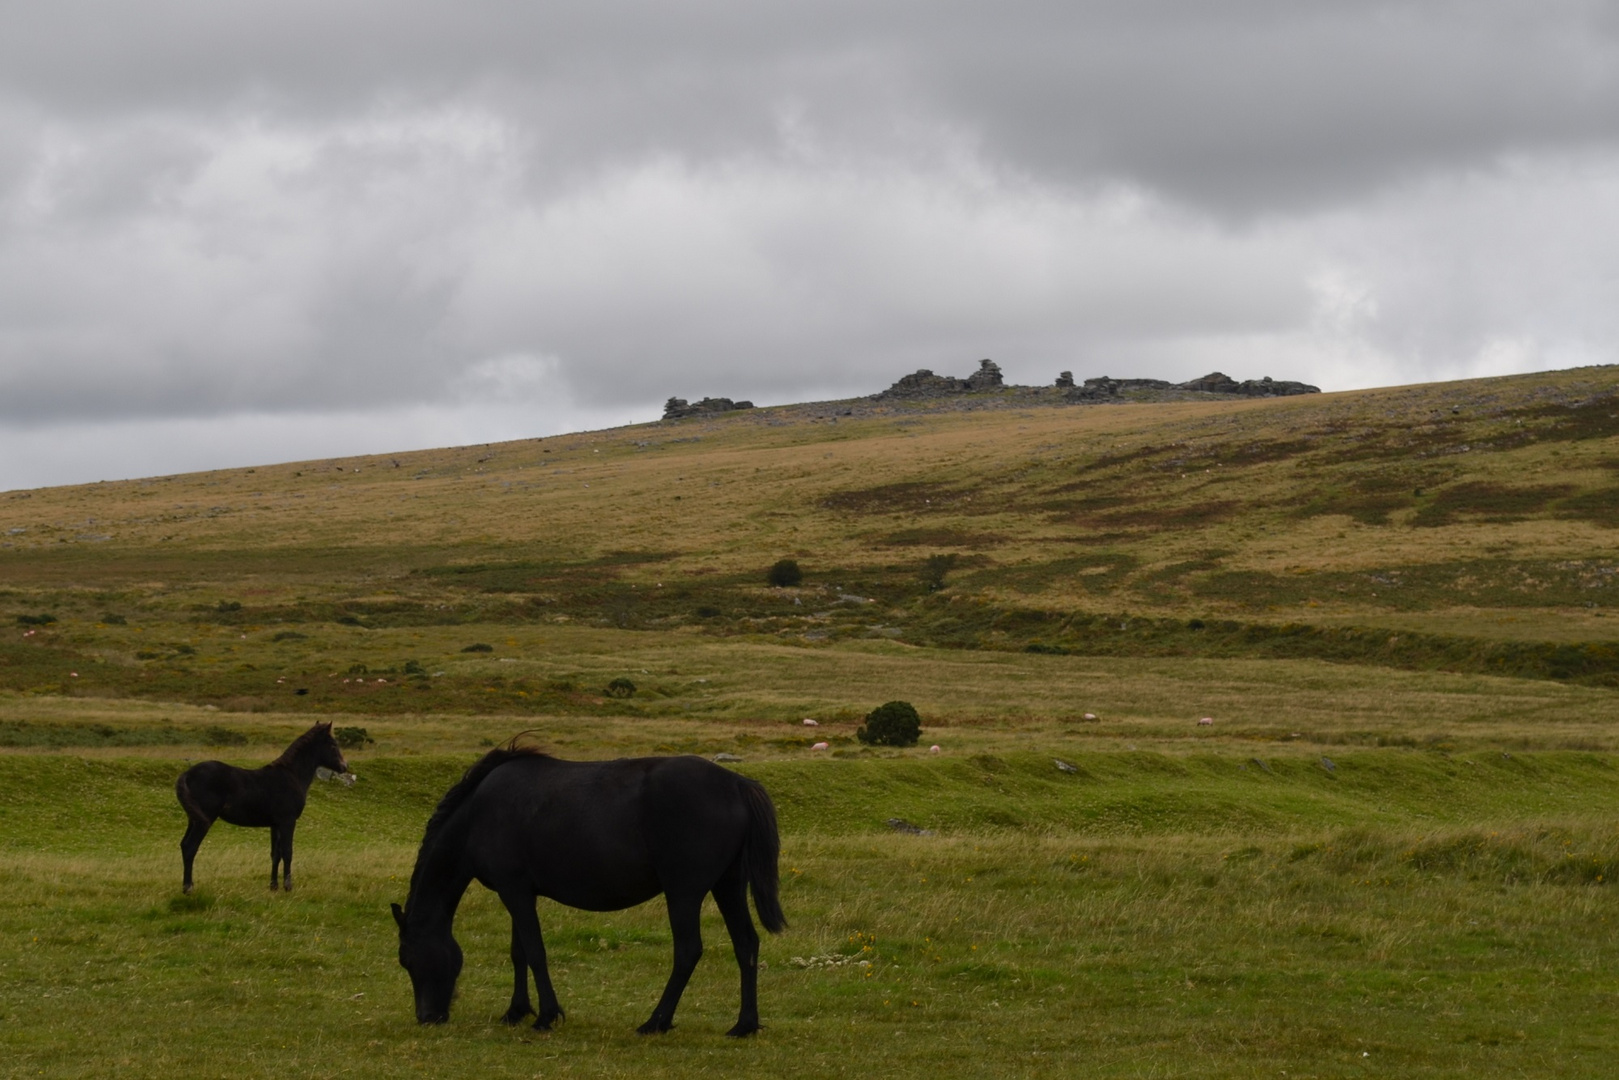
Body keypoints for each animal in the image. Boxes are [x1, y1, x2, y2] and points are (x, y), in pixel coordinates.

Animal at [172, 722, 346, 893]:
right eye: (333, 745)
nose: (344, 766)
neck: (292, 776)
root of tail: (187, 774)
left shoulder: (275, 824)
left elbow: (276, 854)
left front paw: (273, 886)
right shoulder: (288, 821)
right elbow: (287, 852)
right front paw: (288, 886)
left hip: (194, 818)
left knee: (184, 844)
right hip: (205, 819)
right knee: (191, 846)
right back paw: (188, 887)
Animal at [398, 748, 790, 1036]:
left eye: (407, 960)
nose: (427, 1017)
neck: (478, 814)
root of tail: (737, 783)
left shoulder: (514, 892)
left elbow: (535, 952)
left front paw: (546, 1016)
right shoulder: (520, 893)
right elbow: (519, 953)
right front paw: (516, 1011)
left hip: (684, 892)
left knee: (688, 951)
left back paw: (656, 1021)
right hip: (728, 885)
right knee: (746, 944)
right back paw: (744, 1025)